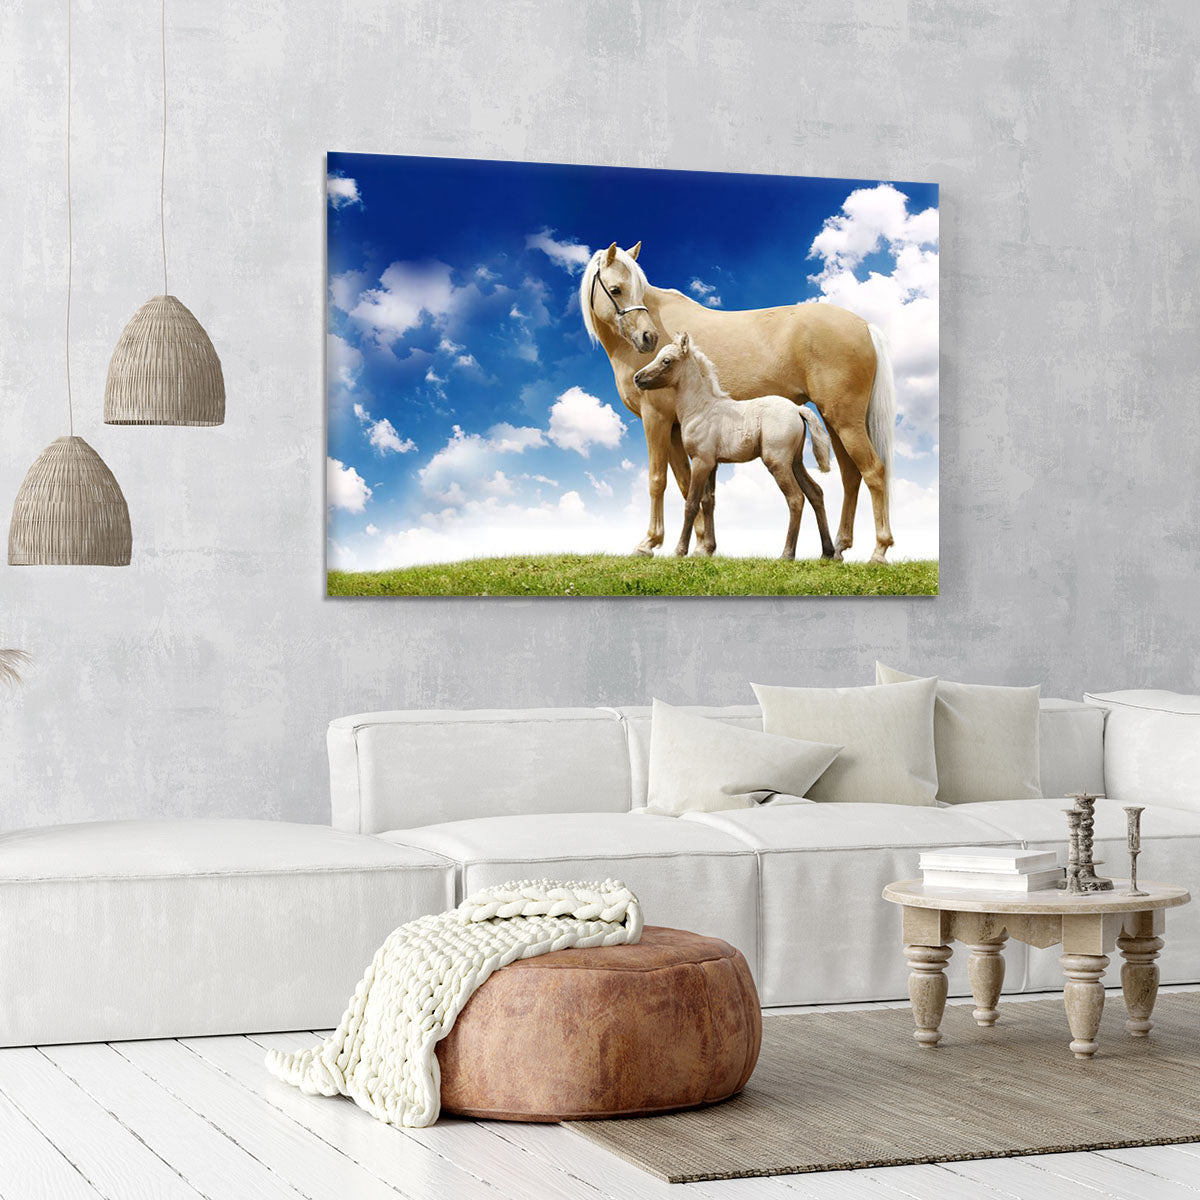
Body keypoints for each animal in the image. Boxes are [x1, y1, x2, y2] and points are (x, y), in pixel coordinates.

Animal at [634, 332, 835, 560]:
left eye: (666, 361)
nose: (637, 378)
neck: (701, 408)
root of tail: (798, 409)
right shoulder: (712, 465)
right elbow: (708, 502)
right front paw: (707, 549)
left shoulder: (701, 462)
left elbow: (691, 503)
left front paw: (680, 551)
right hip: (795, 462)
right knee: (815, 493)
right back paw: (827, 552)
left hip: (778, 463)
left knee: (796, 498)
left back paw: (787, 554)